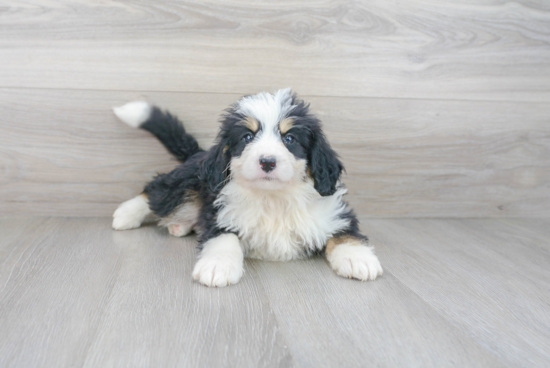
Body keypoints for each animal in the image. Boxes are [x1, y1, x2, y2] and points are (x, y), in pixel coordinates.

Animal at [112, 89, 384, 288]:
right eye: (247, 137)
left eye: (289, 139)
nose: (267, 161)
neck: (273, 199)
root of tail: (200, 153)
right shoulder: (220, 213)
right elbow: (224, 238)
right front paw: (217, 266)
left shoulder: (332, 213)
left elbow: (345, 233)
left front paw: (358, 258)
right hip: (187, 182)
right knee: (156, 190)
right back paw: (126, 214)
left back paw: (180, 225)